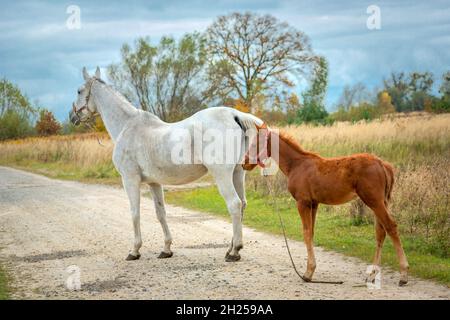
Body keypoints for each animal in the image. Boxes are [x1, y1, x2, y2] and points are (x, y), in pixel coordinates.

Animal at [68, 67, 262, 262]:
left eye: (79, 91)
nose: (72, 116)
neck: (128, 126)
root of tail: (234, 115)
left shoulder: (130, 179)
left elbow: (135, 213)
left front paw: (135, 250)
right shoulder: (154, 183)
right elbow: (160, 214)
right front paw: (166, 249)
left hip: (222, 175)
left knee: (234, 204)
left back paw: (235, 251)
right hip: (237, 173)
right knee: (242, 204)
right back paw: (230, 248)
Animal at [244, 124, 410, 286]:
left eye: (254, 143)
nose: (245, 163)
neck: (297, 165)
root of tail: (382, 164)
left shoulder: (303, 202)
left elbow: (306, 233)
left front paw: (308, 273)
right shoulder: (314, 204)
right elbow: (311, 233)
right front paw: (310, 270)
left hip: (374, 201)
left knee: (390, 227)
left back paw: (403, 275)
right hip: (382, 202)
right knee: (380, 232)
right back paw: (372, 275)